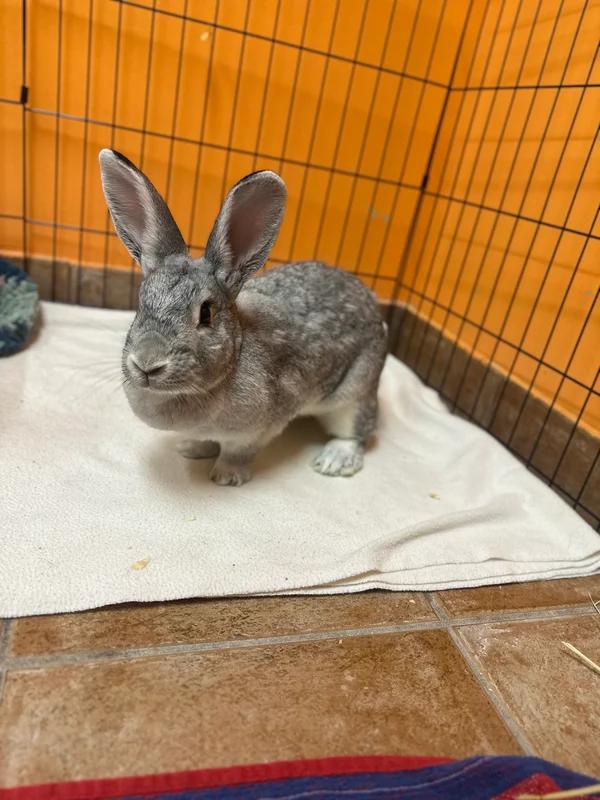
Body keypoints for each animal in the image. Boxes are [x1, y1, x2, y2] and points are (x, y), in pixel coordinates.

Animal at [99, 148, 387, 486]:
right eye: (141, 302)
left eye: (206, 313)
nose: (146, 364)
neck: (234, 356)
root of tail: (373, 305)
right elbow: (205, 440)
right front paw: (191, 448)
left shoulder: (258, 430)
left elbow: (238, 452)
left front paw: (226, 476)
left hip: (355, 391)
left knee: (357, 431)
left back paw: (334, 461)